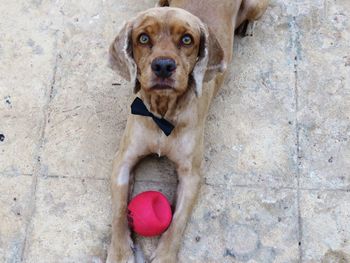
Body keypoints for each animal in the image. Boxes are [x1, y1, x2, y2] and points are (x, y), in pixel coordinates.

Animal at [106, 1, 268, 262]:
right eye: (143, 38)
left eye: (187, 39)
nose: (163, 66)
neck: (163, 114)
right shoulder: (123, 160)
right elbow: (119, 210)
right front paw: (120, 251)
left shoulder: (191, 175)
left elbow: (178, 221)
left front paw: (164, 256)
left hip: (256, 7)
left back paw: (248, 26)